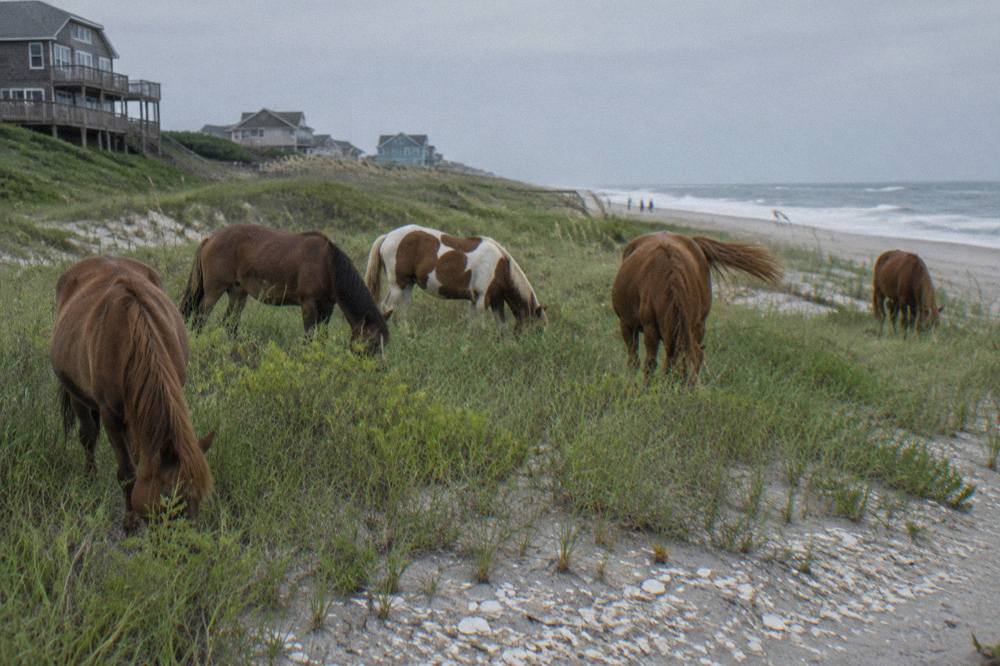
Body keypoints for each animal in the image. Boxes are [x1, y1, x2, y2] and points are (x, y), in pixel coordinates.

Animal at [50, 256, 214, 530]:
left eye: (197, 498)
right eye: (168, 498)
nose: (184, 538)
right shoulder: (110, 415)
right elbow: (127, 473)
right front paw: (129, 522)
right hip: (77, 395)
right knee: (88, 436)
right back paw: (90, 476)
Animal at [180, 224, 389, 354]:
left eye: (384, 343)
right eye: (372, 342)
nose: (377, 370)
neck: (327, 265)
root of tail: (210, 238)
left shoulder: (327, 307)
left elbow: (321, 338)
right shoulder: (308, 304)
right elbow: (309, 336)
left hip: (237, 293)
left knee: (230, 324)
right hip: (214, 291)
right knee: (199, 319)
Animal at [364, 224, 547, 328]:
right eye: (538, 329)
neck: (500, 266)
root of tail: (387, 236)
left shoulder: (492, 301)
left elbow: (494, 326)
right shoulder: (483, 299)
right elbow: (479, 326)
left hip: (408, 284)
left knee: (402, 308)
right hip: (398, 285)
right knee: (387, 306)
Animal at [612, 232, 783, 384]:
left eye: (696, 369)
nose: (691, 392)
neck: (665, 282)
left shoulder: (694, 328)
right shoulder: (648, 329)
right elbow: (649, 364)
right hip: (630, 325)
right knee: (635, 359)